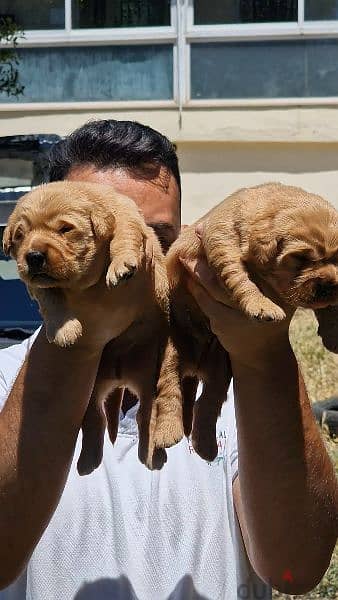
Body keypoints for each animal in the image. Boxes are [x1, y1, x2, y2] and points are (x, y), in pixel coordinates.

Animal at [2, 180, 184, 472]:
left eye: (65, 229)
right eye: (20, 235)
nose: (33, 256)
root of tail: (122, 376)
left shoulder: (127, 217)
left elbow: (124, 238)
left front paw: (122, 264)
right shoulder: (39, 285)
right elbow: (51, 300)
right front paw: (65, 330)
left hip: (161, 367)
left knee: (156, 409)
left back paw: (159, 447)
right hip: (93, 391)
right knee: (104, 417)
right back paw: (89, 462)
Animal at [167, 182, 338, 460]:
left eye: (337, 258)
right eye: (301, 259)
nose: (329, 284)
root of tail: (193, 365)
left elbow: (330, 307)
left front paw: (333, 335)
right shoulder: (221, 242)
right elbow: (240, 278)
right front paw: (263, 306)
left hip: (219, 368)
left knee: (207, 402)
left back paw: (205, 446)